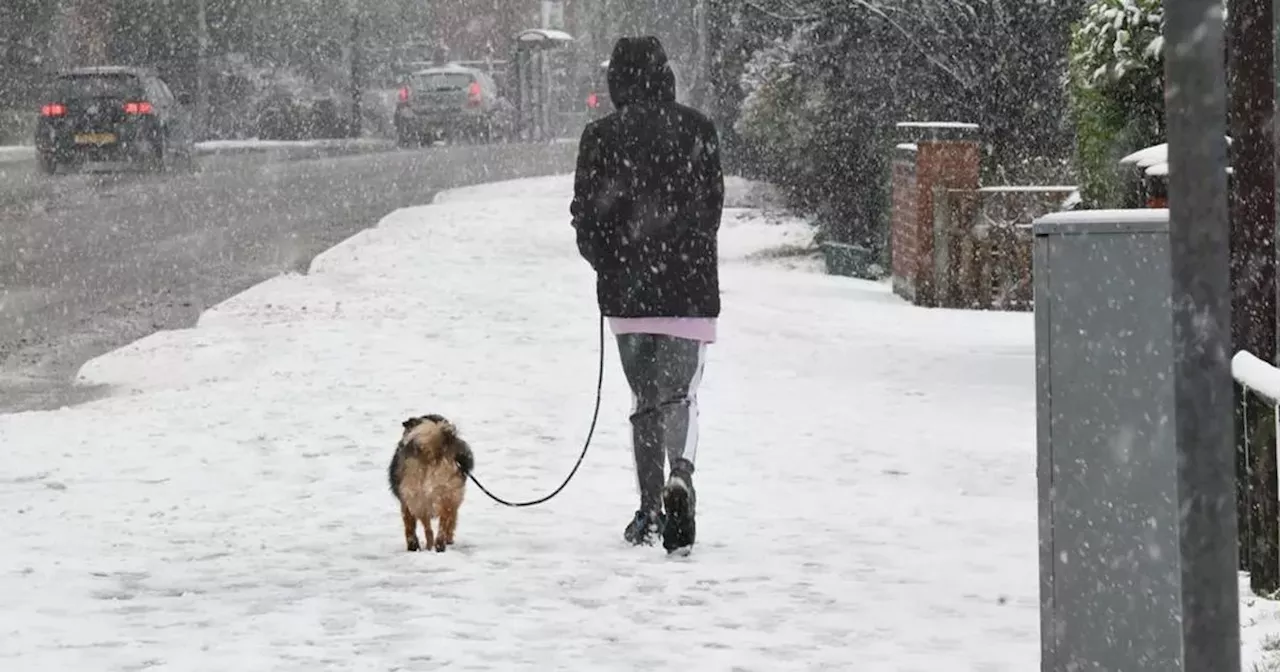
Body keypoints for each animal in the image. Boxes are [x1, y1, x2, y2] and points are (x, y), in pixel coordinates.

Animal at [389, 414, 476, 550]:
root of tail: (431, 451)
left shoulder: (406, 503)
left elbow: (410, 526)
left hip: (422, 496)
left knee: (431, 527)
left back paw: (430, 545)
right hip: (445, 494)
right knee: (441, 524)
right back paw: (439, 544)